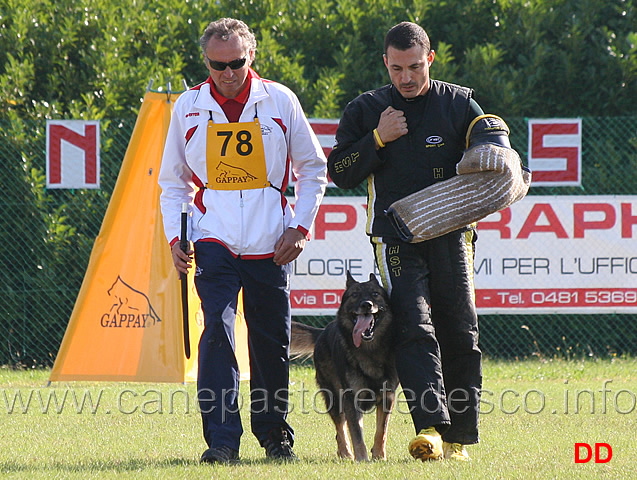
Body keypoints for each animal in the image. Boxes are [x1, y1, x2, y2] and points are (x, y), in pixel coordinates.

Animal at [292, 272, 398, 460]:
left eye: (375, 294)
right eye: (354, 295)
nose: (366, 304)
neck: (370, 351)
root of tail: (323, 332)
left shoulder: (387, 397)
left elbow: (381, 431)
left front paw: (379, 456)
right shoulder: (350, 398)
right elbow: (356, 434)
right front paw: (362, 458)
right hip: (334, 398)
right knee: (340, 428)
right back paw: (346, 453)